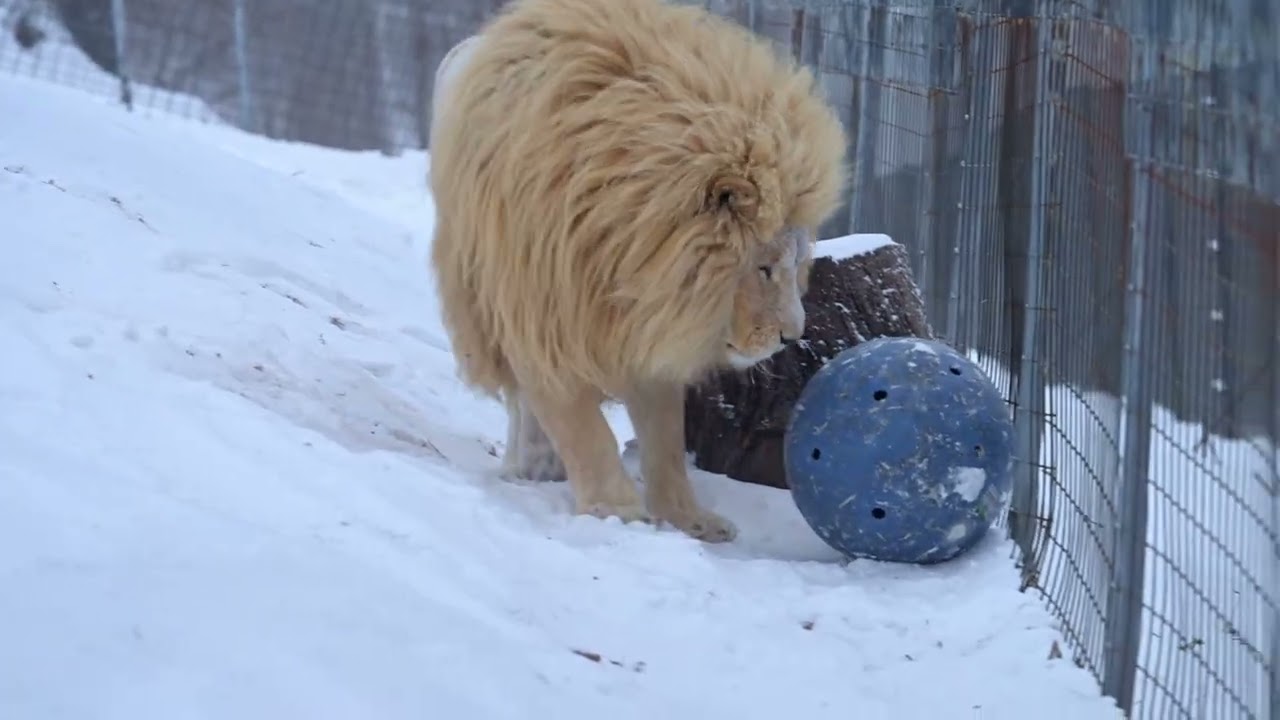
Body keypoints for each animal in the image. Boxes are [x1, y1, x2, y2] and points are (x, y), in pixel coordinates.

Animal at [428, 0, 848, 543]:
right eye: (764, 267)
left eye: (795, 267)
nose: (791, 337)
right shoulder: (543, 311)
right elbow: (581, 427)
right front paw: (616, 512)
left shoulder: (650, 326)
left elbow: (665, 437)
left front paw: (691, 521)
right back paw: (533, 466)